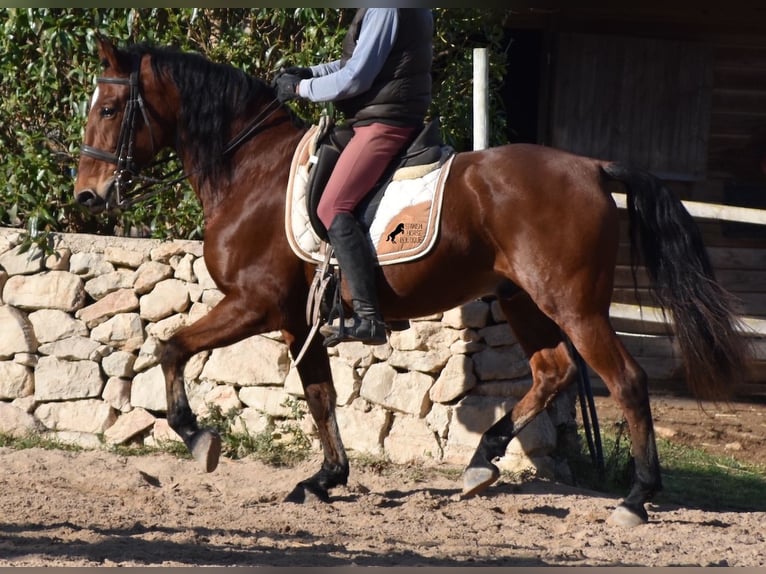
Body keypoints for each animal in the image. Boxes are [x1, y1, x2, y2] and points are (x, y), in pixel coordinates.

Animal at [73, 38, 752, 528]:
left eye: (108, 109)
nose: (87, 195)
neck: (251, 172)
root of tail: (590, 166)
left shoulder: (254, 304)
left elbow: (170, 347)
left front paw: (197, 438)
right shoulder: (297, 319)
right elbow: (320, 395)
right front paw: (324, 480)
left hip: (574, 304)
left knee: (627, 381)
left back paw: (636, 498)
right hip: (524, 300)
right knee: (552, 372)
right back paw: (481, 464)